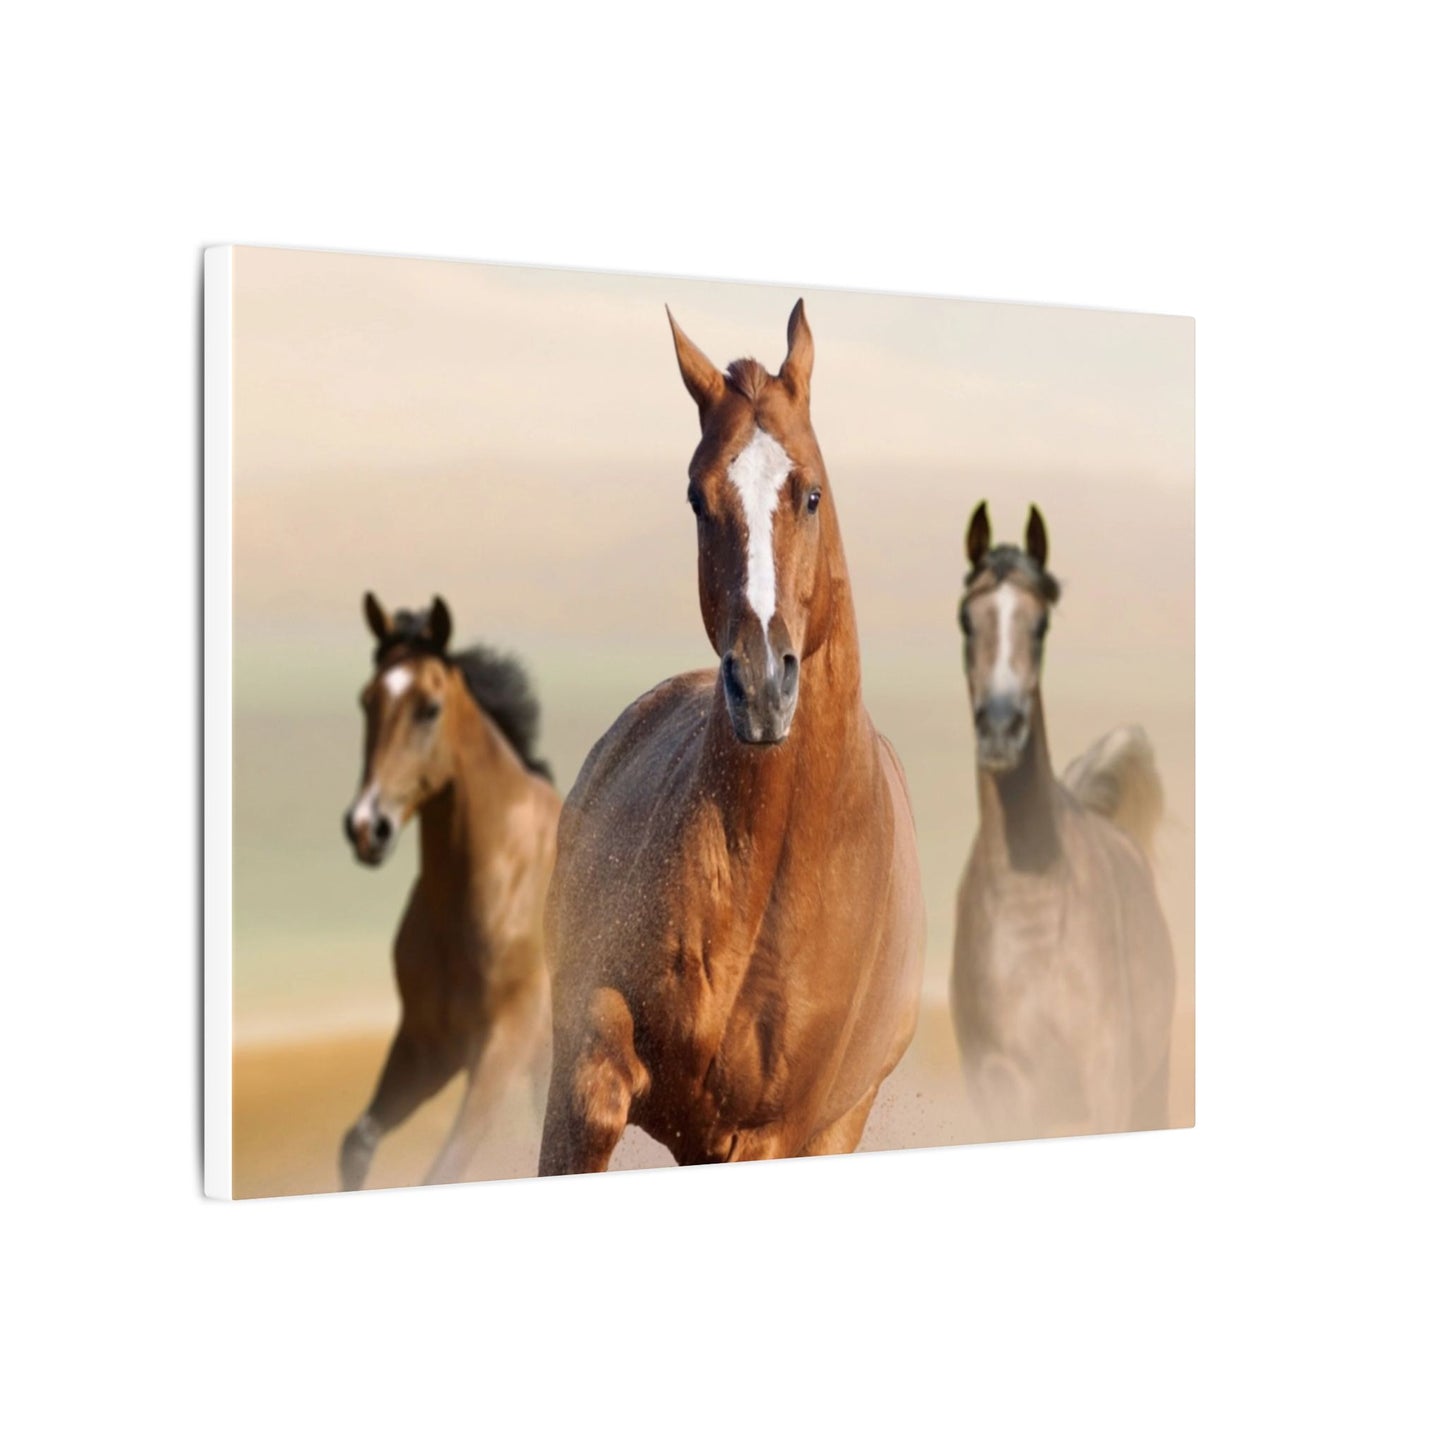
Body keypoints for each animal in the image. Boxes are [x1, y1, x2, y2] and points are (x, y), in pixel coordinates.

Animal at [340, 593, 561, 1188]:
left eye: (429, 708)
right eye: (367, 701)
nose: (367, 827)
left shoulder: (504, 1046)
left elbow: (446, 1166)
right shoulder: (428, 1045)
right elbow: (357, 1143)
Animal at [539, 300, 925, 1173]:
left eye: (810, 492)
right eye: (696, 496)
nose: (760, 685)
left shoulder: (764, 1133)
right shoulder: (589, 1052)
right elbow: (595, 1095)